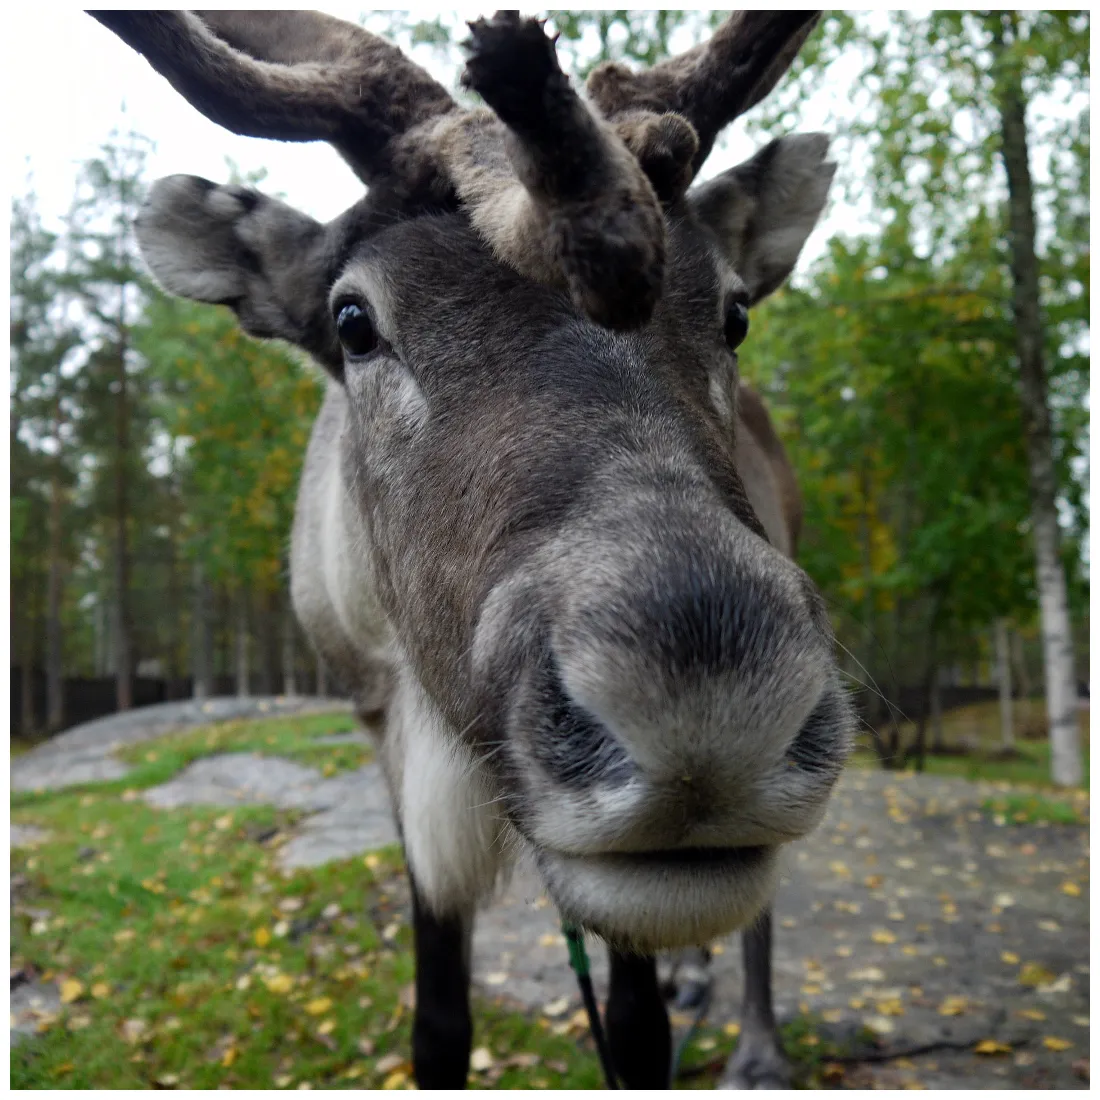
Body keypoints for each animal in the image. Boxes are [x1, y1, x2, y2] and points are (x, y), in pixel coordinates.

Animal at [90, 9, 853, 1089]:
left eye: (734, 311)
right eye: (352, 320)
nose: (707, 702)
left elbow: (635, 1028)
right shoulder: (385, 737)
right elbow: (438, 1023)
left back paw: (755, 1047)